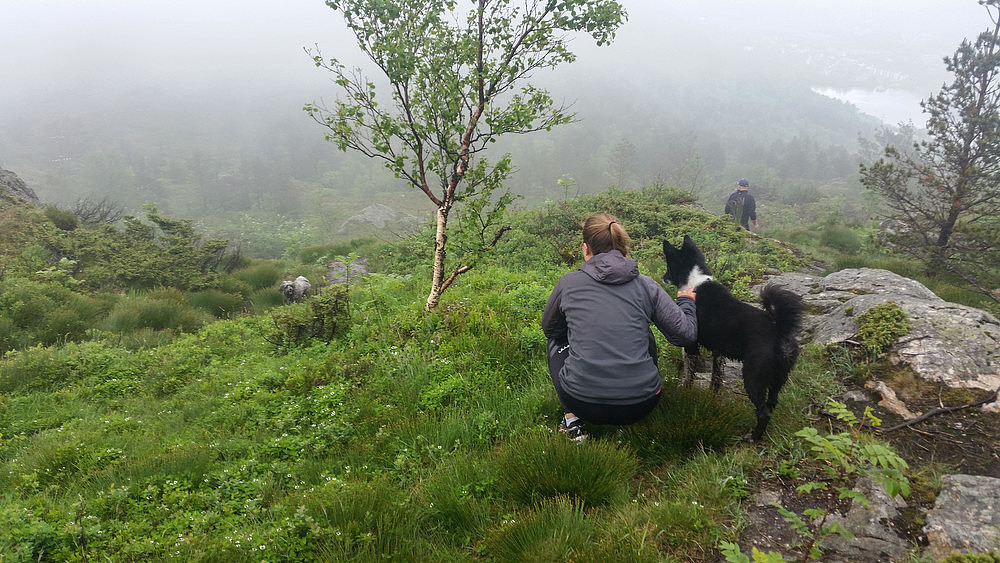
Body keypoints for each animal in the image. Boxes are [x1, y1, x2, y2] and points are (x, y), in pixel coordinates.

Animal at [664, 235, 804, 440]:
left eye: (668, 265)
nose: (663, 277)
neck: (695, 282)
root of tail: (779, 330)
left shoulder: (691, 345)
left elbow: (688, 373)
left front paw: (684, 390)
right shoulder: (718, 352)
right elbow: (716, 377)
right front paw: (712, 397)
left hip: (753, 376)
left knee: (763, 412)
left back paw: (753, 437)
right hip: (778, 378)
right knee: (771, 404)